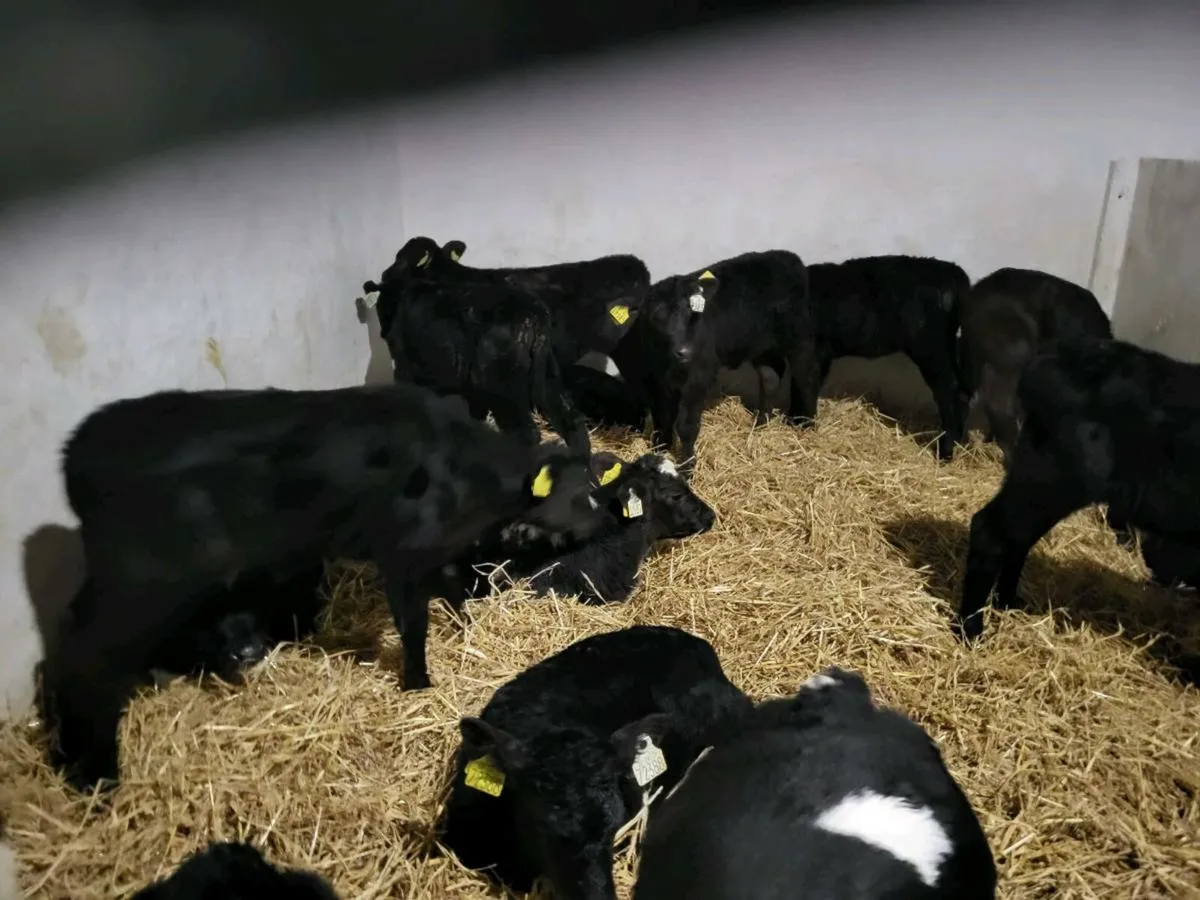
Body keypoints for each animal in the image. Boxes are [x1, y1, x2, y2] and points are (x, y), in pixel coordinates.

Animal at [45, 382, 606, 792]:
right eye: (583, 496)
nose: (604, 524)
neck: (466, 476)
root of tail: (79, 450)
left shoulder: (430, 551)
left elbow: (448, 587)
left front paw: (466, 627)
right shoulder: (400, 551)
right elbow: (413, 623)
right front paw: (418, 682)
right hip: (143, 583)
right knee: (85, 658)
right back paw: (96, 774)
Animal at [603, 250, 817, 477]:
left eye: (693, 313)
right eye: (656, 316)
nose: (686, 351)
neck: (663, 362)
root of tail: (786, 256)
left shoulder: (697, 377)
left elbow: (686, 425)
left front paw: (687, 467)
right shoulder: (655, 384)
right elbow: (662, 416)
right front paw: (660, 448)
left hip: (799, 336)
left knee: (807, 375)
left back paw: (809, 425)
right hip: (762, 346)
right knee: (770, 377)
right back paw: (760, 425)